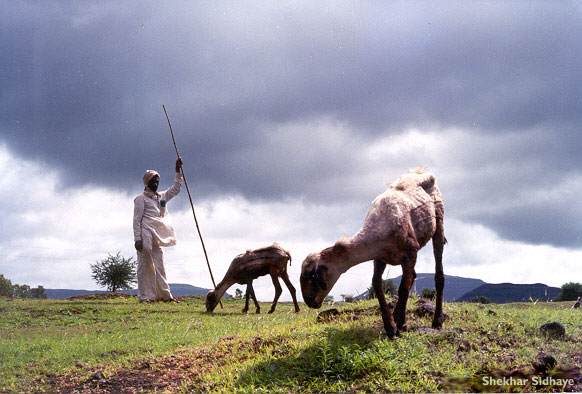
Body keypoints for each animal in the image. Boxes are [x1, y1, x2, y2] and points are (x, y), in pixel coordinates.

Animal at [302, 168, 448, 338]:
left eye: (313, 275)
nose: (309, 301)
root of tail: (421, 170)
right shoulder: (380, 258)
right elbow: (377, 284)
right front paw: (391, 326)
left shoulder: (410, 253)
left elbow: (403, 289)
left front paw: (399, 324)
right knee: (413, 277)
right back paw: (398, 317)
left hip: (439, 223)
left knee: (438, 275)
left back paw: (437, 321)